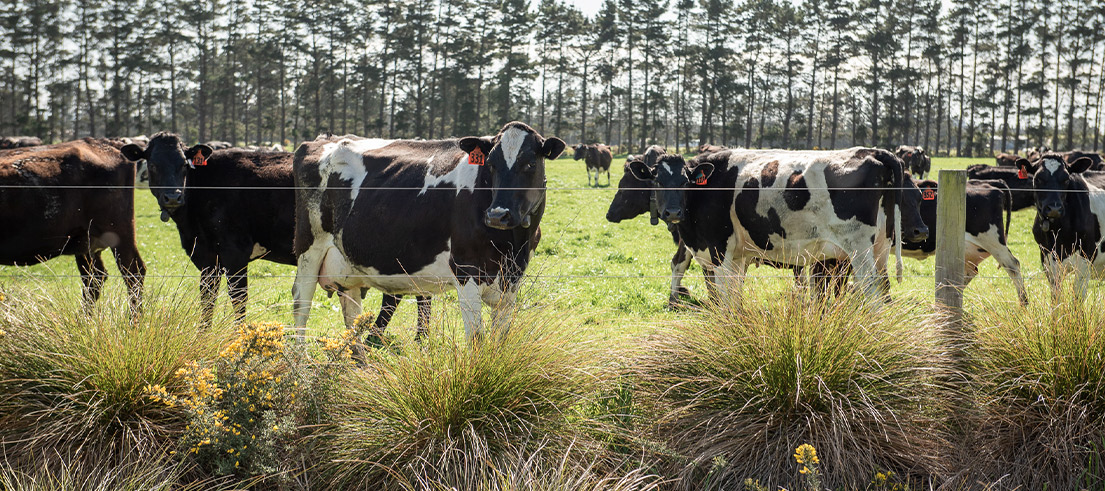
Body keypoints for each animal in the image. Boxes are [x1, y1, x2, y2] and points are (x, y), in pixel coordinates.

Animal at [0, 138, 145, 312]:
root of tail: (104, 143)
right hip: (86, 242)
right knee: (94, 278)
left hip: (119, 234)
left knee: (133, 273)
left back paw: (134, 318)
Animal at [123, 133, 428, 334]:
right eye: (152, 164)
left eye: (183, 165)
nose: (173, 196)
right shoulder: (207, 257)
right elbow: (207, 301)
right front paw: (203, 336)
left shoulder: (235, 253)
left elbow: (238, 300)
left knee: (410, 297)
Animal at [291, 122, 565, 341]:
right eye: (491, 164)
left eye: (530, 163)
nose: (497, 215)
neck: (512, 244)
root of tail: (325, 139)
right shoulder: (466, 269)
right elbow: (476, 338)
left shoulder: (513, 278)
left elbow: (501, 339)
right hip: (310, 247)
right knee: (301, 303)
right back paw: (301, 366)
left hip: (345, 263)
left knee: (352, 314)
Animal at [625, 147, 926, 305]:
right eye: (656, 180)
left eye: (686, 180)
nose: (672, 211)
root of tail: (870, 152)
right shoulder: (738, 256)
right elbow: (735, 298)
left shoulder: (720, 252)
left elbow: (725, 299)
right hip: (881, 249)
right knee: (884, 290)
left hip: (858, 251)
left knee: (871, 290)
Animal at [1017, 154, 1105, 301]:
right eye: (1038, 178)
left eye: (1066, 179)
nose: (1054, 208)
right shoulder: (1047, 257)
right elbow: (1056, 296)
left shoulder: (1086, 255)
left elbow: (1077, 297)